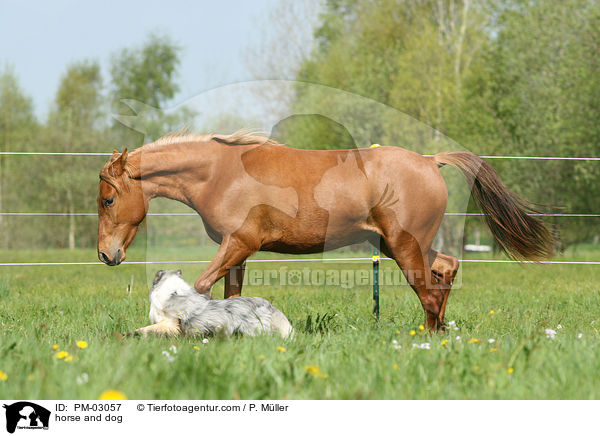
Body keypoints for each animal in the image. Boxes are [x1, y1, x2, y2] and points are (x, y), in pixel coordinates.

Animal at [97, 131, 552, 328]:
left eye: (107, 200)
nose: (106, 255)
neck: (221, 172)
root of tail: (429, 160)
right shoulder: (238, 251)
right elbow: (231, 295)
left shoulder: (239, 243)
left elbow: (203, 288)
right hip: (403, 246)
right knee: (447, 270)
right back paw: (438, 333)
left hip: (405, 247)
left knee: (428, 290)